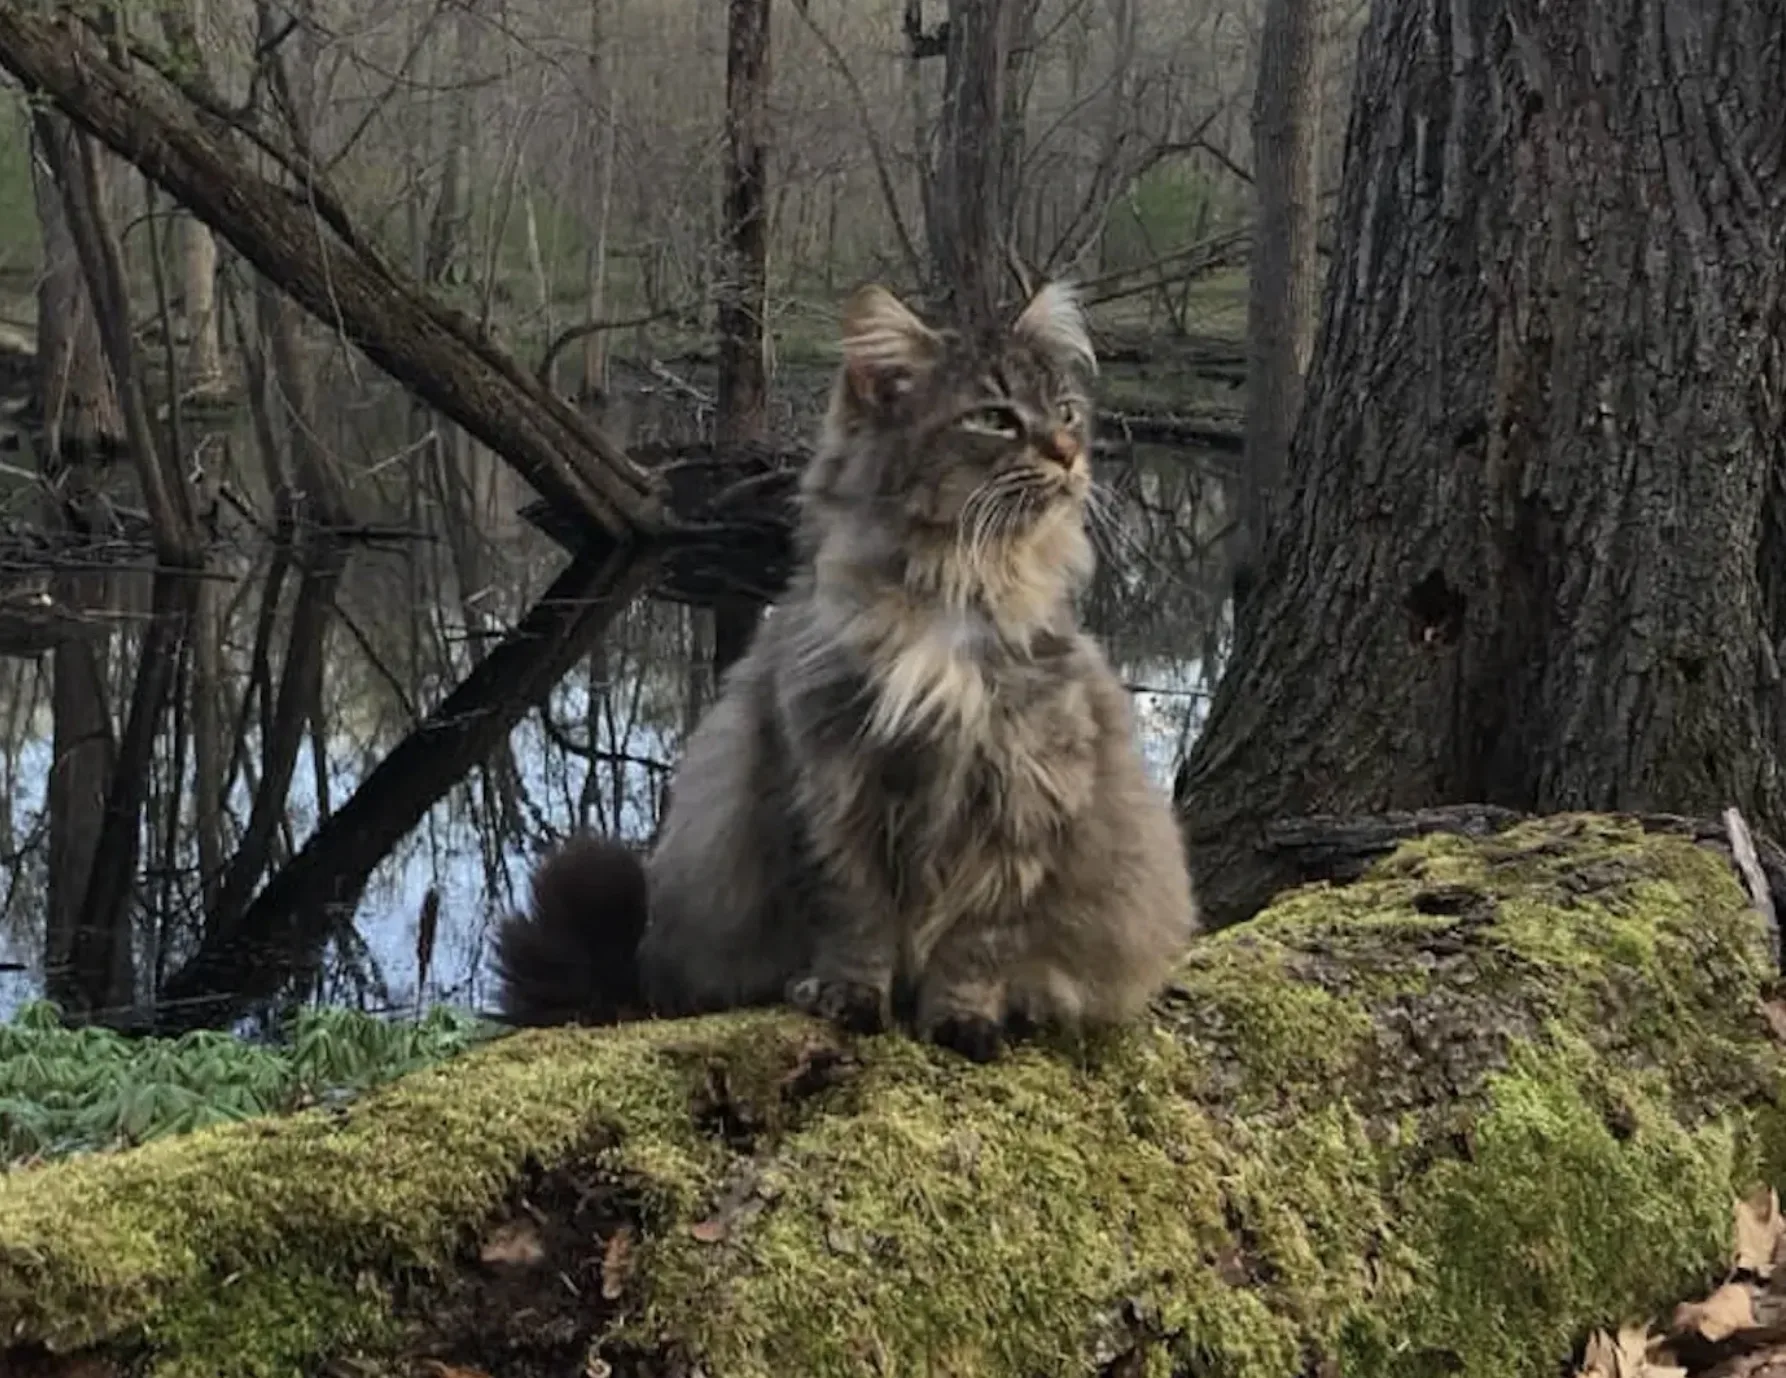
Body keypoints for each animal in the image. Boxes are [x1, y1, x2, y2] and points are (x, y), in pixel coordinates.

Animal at [496, 280, 1200, 1063]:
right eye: (995, 418)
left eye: (1068, 412)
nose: (1071, 453)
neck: (953, 595)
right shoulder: (829, 785)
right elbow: (855, 922)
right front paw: (848, 1000)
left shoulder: (1023, 802)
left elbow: (975, 947)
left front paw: (963, 1023)